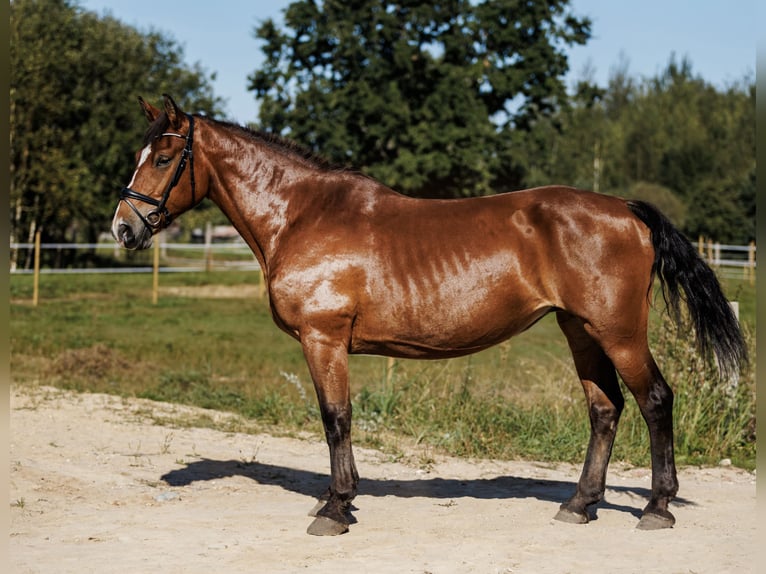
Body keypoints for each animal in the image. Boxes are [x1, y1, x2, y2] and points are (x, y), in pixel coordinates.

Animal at [111, 95, 748, 540]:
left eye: (163, 158)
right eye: (139, 156)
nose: (123, 227)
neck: (302, 215)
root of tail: (626, 210)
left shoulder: (323, 339)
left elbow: (336, 419)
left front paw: (336, 508)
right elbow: (339, 421)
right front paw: (342, 502)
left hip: (618, 333)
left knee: (655, 400)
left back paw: (657, 508)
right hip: (581, 331)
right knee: (605, 409)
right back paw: (579, 505)